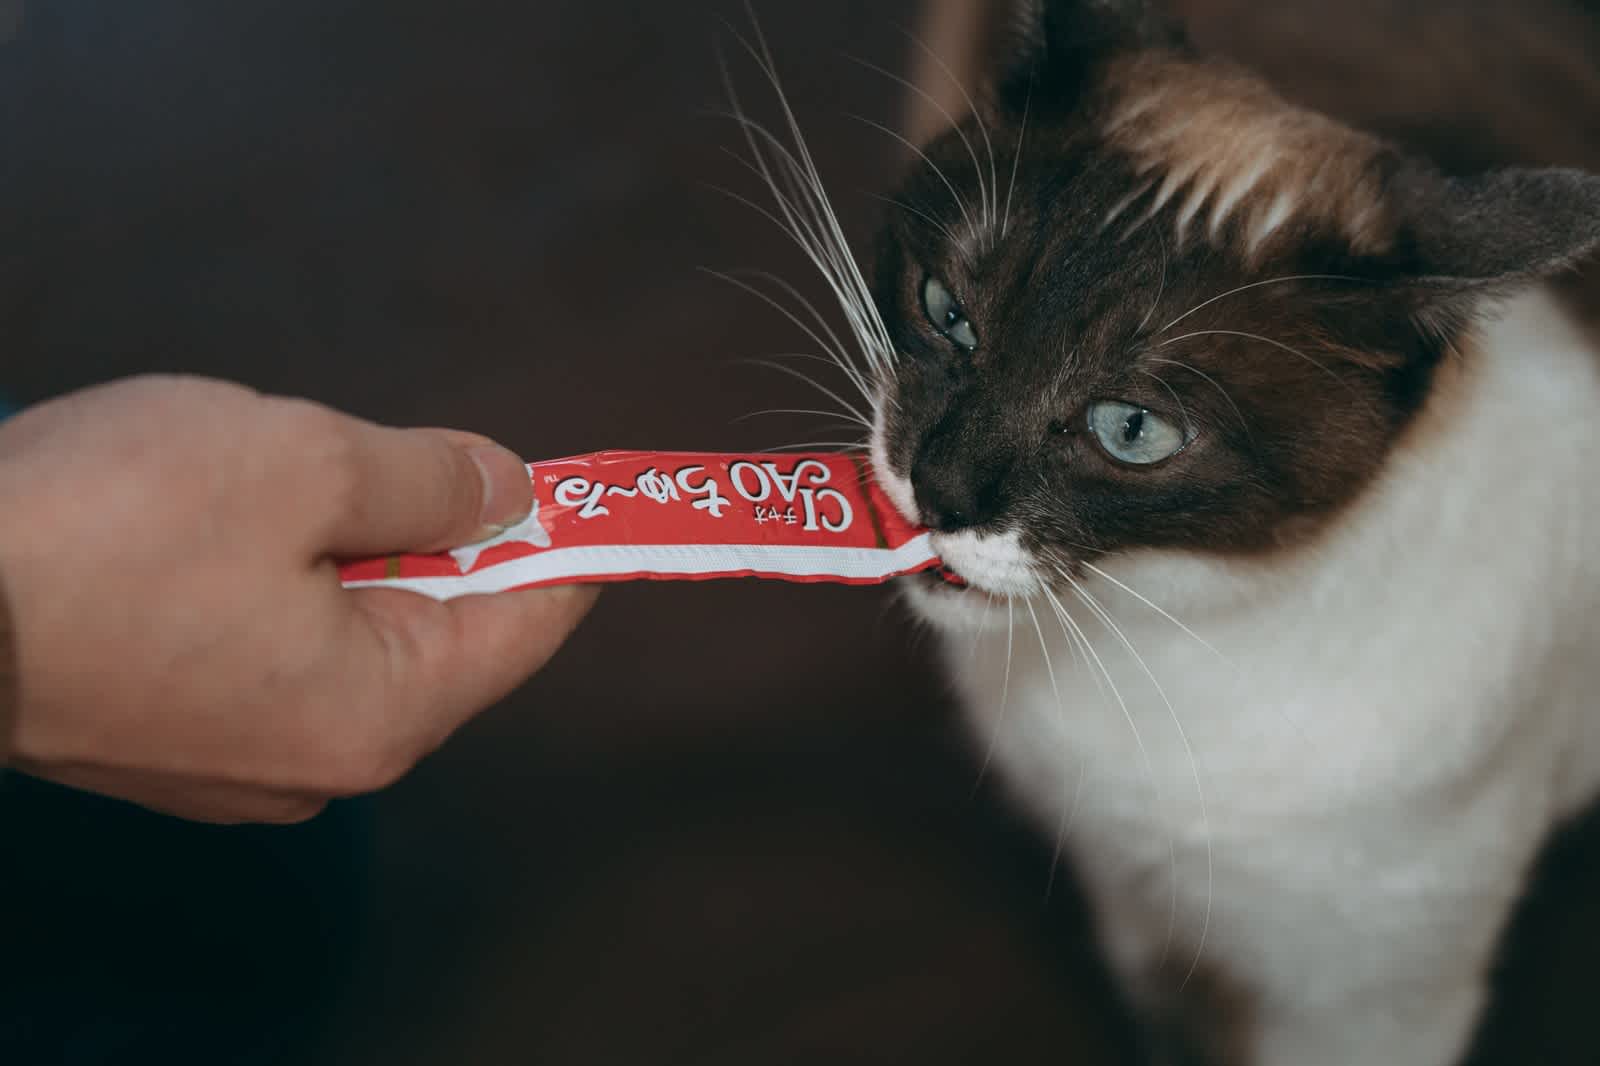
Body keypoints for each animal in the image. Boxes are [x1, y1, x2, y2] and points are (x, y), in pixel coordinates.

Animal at [844, 2, 1600, 1062]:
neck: (1159, 633)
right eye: (946, 313)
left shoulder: (1364, 1011)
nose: (937, 491)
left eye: (1132, 431)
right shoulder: (1138, 917)